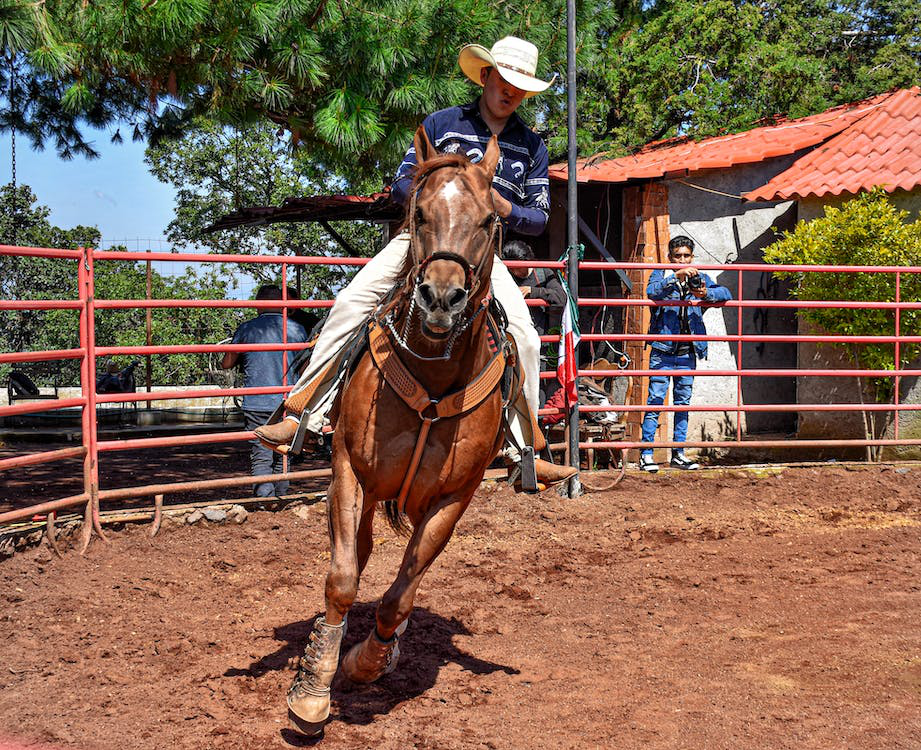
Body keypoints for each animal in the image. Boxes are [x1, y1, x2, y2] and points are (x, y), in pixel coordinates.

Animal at [286, 127, 513, 734]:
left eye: (489, 218)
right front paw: (313, 687)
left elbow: (400, 596)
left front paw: (368, 661)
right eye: (420, 212)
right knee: (358, 551)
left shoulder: (454, 497)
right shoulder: (349, 469)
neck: (432, 377)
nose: (440, 297)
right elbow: (343, 578)